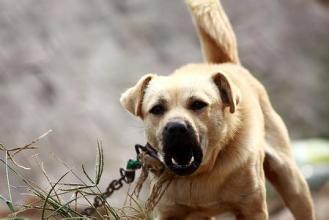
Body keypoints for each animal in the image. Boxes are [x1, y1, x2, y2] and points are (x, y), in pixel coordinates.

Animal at [119, 0, 314, 220]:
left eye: (198, 104)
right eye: (157, 109)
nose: (175, 128)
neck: (202, 174)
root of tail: (226, 64)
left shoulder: (252, 208)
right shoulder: (170, 212)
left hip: (292, 181)